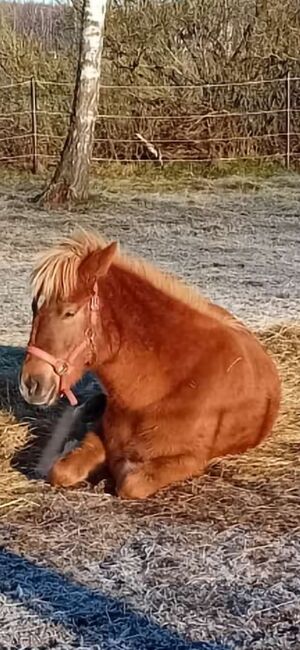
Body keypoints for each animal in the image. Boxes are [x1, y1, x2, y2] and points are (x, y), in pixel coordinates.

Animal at [19, 230, 282, 498]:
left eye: (69, 313)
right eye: (34, 308)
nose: (31, 384)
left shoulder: (189, 459)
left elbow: (130, 483)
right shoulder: (101, 433)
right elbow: (62, 471)